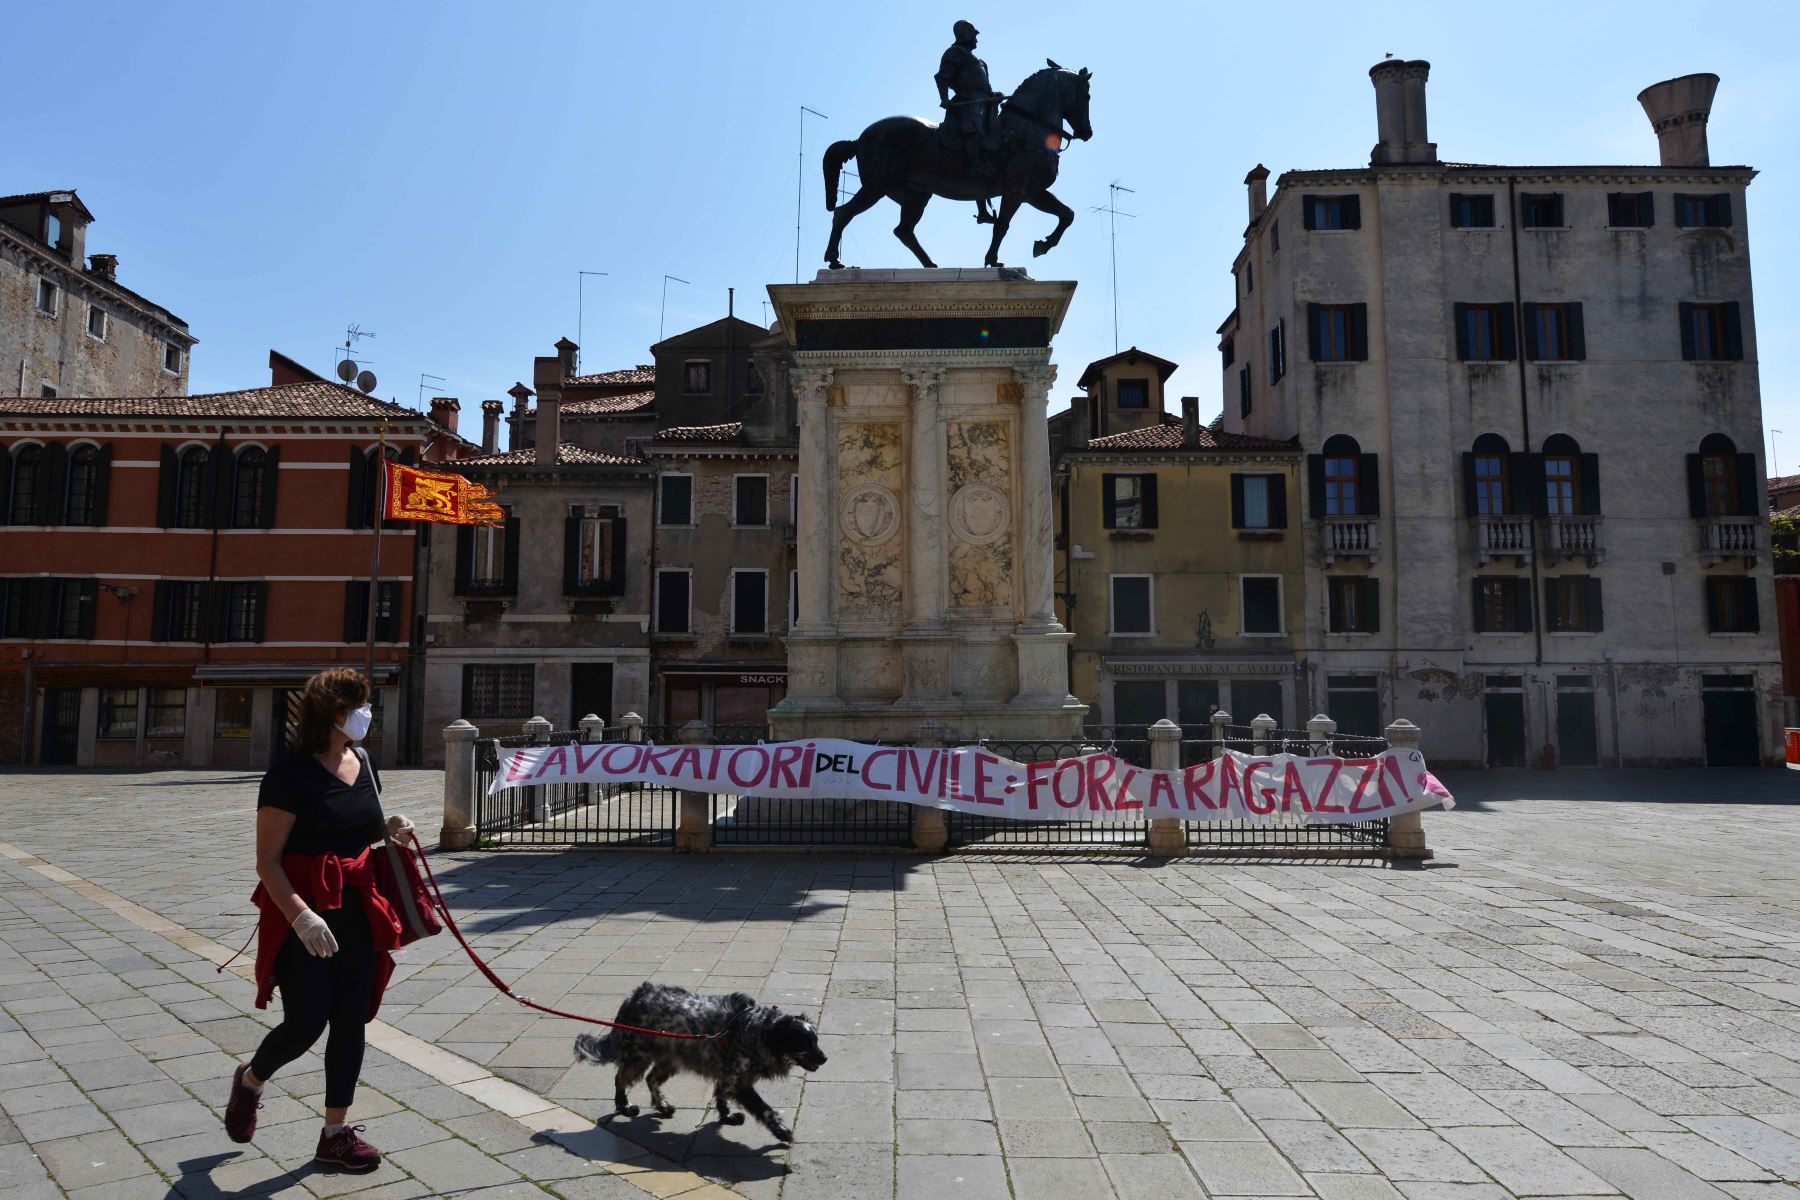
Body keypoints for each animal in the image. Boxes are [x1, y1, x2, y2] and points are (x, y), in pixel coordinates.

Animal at [572, 985, 824, 1144]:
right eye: (805, 1043)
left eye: (816, 1040)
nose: (824, 1058)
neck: (757, 1029)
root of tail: (633, 998)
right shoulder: (739, 1082)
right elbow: (766, 1110)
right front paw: (782, 1132)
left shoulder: (727, 1076)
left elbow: (721, 1097)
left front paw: (726, 1117)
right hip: (638, 1055)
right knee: (620, 1078)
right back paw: (624, 1106)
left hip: (670, 1058)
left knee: (651, 1079)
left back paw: (663, 1106)